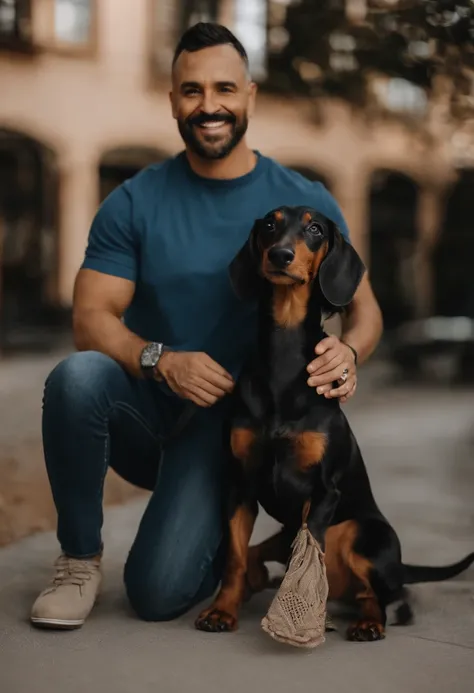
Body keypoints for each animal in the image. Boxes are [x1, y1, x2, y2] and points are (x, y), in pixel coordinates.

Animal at [193, 207, 474, 644]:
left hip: (363, 536)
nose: (280, 255)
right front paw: (222, 610)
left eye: (314, 228)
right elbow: (235, 556)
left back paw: (369, 622)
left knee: (383, 596)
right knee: (270, 558)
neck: (284, 357)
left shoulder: (324, 491)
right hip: (287, 530)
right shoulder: (239, 484)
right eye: (269, 225)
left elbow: (307, 561)